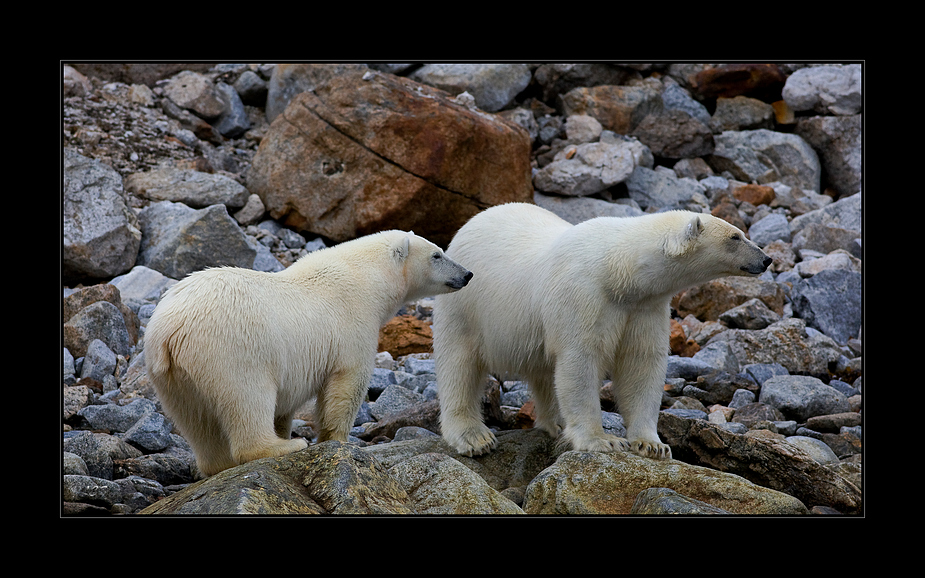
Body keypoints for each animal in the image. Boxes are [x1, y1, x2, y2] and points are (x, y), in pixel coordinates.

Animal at [149, 227, 476, 474]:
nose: (467, 274)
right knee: (247, 397)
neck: (366, 278)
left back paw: (218, 463)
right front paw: (337, 440)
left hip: (171, 376)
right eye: (437, 254)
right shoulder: (353, 324)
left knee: (194, 421)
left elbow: (285, 406)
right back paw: (284, 446)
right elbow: (347, 385)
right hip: (231, 350)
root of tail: (170, 330)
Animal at [434, 202, 772, 460]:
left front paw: (652, 444)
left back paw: (554, 424)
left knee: (544, 373)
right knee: (459, 364)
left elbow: (641, 365)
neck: (619, 271)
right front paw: (602, 440)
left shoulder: (644, 309)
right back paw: (473, 436)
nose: (766, 259)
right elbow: (580, 363)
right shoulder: (583, 297)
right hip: (465, 304)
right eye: (735, 236)